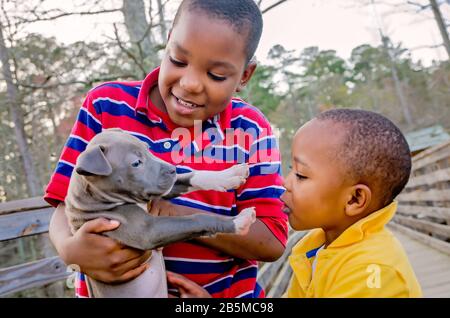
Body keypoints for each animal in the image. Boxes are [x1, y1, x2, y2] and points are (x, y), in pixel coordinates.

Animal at [66, 128, 256, 296]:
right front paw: (238, 221)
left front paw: (229, 175)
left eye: (147, 148)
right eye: (136, 163)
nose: (172, 169)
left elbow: (192, 176)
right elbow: (196, 218)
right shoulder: (146, 230)